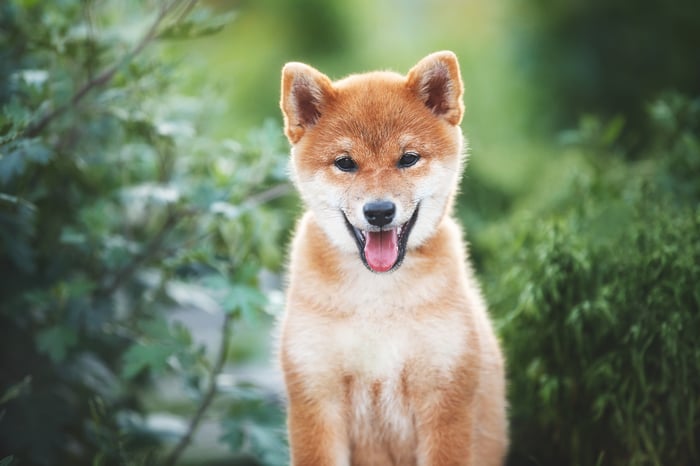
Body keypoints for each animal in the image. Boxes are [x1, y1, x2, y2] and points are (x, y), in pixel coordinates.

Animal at [276, 51, 506, 466]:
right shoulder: (316, 397)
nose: (379, 211)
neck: (377, 299)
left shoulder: (445, 400)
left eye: (408, 158)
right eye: (345, 163)